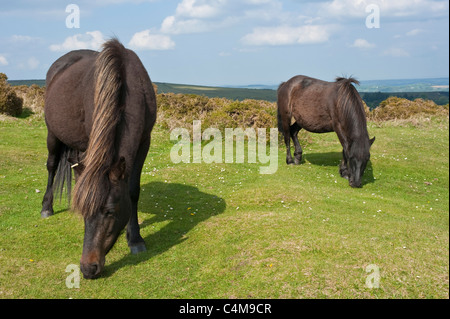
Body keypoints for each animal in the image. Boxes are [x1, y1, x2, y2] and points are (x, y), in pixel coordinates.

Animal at [40, 39, 156, 280]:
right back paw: (46, 207)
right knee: (52, 166)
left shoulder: (144, 141)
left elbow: (133, 190)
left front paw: (135, 239)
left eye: (110, 211)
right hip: (53, 135)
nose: (88, 268)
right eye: (84, 213)